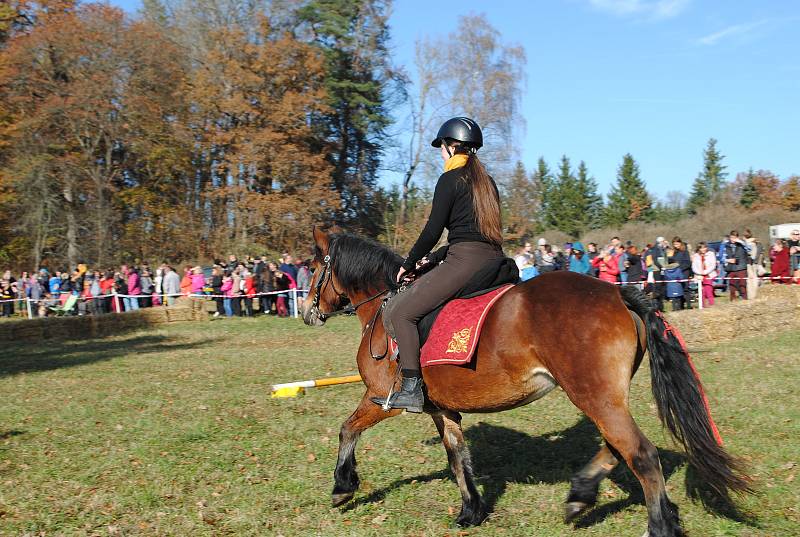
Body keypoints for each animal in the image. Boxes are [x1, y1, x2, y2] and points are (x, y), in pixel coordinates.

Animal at [302, 227, 752, 536]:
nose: (308, 312)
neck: (382, 308)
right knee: (617, 446)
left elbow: (347, 429)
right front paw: (471, 511)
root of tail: (615, 293)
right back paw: (580, 495)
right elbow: (457, 457)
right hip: (602, 397)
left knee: (639, 453)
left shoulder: (382, 397)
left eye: (315, 267)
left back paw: (656, 525)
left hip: (592, 395)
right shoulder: (442, 410)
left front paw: (343, 486)